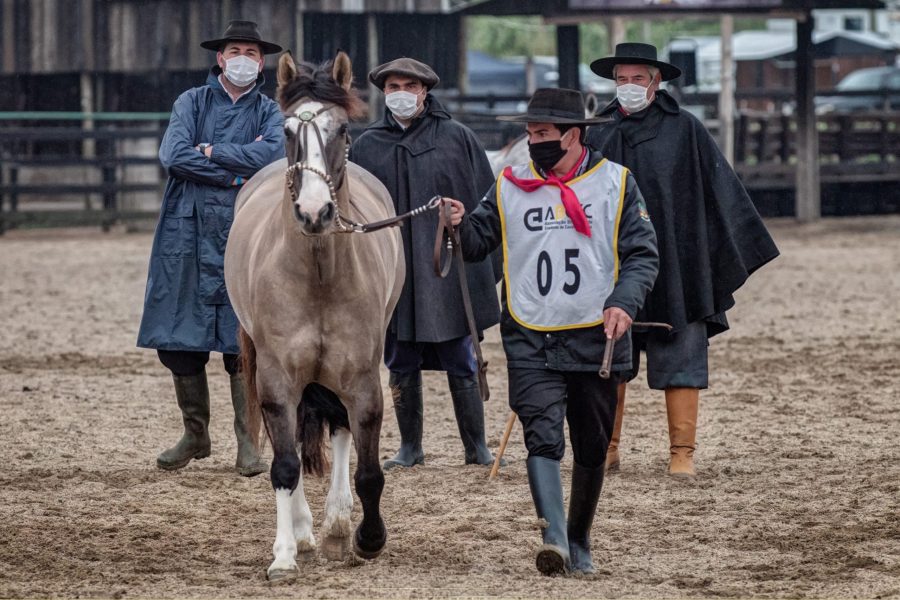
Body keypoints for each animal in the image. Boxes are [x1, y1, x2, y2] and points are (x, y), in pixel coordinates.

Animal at [223, 52, 406, 580]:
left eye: (341, 129)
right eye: (287, 131)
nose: (314, 211)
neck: (319, 274)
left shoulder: (362, 378)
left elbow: (369, 470)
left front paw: (366, 538)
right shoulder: (277, 379)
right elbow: (284, 466)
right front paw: (284, 553)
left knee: (340, 429)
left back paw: (338, 525)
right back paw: (305, 532)